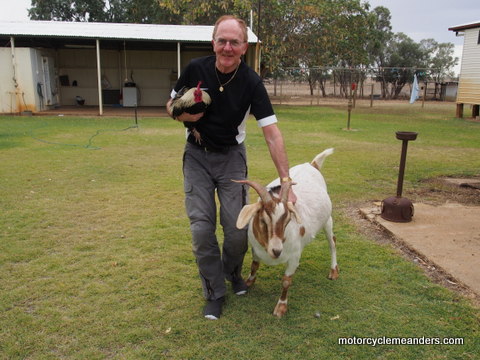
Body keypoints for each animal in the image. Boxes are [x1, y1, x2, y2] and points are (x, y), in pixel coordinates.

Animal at [235, 149, 338, 318]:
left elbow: (286, 281)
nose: (276, 251)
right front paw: (248, 282)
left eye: (288, 220)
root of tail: (312, 165)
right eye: (263, 220)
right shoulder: (256, 248)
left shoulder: (293, 256)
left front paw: (281, 307)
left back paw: (334, 271)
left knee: (332, 242)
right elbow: (254, 265)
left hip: (327, 219)